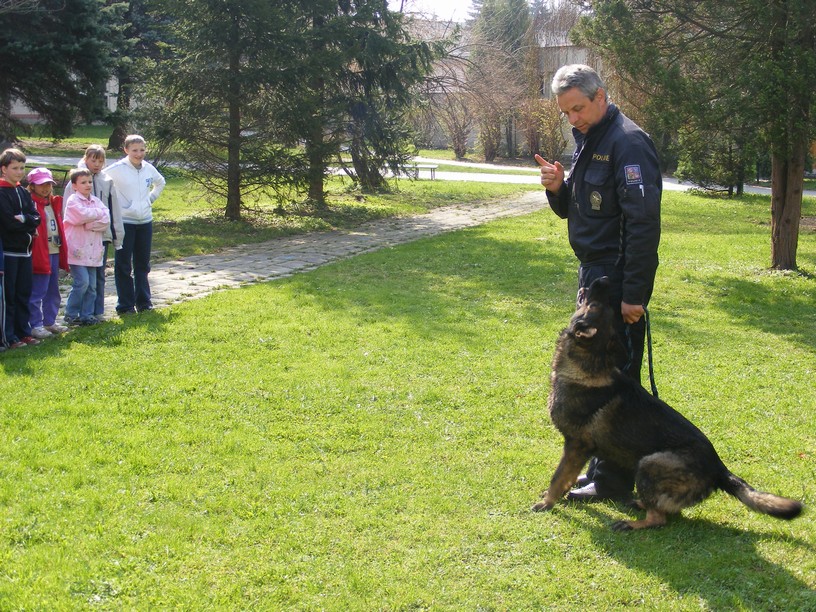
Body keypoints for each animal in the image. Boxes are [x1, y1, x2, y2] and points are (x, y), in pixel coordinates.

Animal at [533, 277, 803, 530]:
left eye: (594, 305)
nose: (606, 279)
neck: (589, 365)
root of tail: (720, 469)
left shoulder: (575, 446)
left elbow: (558, 477)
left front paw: (547, 502)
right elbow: (566, 478)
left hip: (649, 464)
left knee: (659, 519)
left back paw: (632, 522)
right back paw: (639, 503)